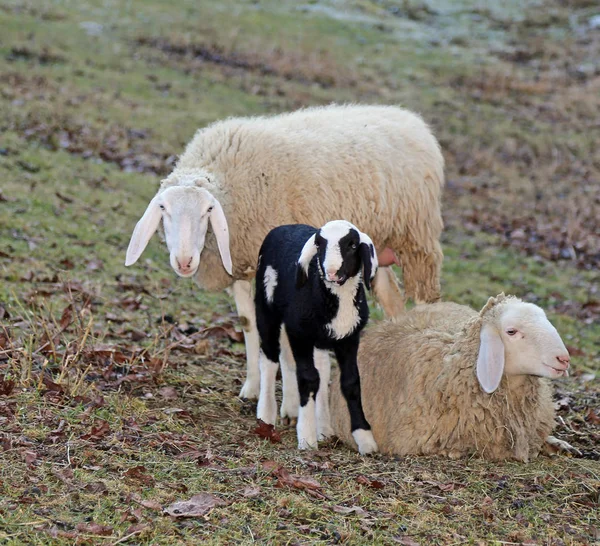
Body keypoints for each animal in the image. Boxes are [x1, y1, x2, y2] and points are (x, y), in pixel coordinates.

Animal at [124, 105, 446, 408]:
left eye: (208, 210)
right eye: (163, 209)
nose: (184, 262)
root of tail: (410, 118)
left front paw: (291, 404)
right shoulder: (242, 269)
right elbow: (249, 325)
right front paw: (252, 388)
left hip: (417, 238)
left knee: (425, 298)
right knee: (394, 302)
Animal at [254, 219, 378, 452]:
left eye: (352, 245)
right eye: (319, 245)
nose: (331, 272)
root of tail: (286, 226)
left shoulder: (349, 338)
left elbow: (351, 382)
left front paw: (365, 438)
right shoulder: (299, 333)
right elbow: (308, 379)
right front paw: (307, 437)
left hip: (318, 338)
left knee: (317, 367)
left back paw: (319, 424)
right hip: (266, 309)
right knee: (269, 359)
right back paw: (266, 415)